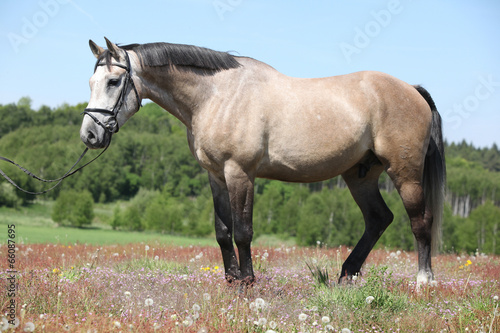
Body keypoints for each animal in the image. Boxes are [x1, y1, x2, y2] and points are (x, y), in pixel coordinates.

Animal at [81, 37, 446, 284]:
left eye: (113, 81)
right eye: (91, 82)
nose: (89, 135)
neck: (217, 96)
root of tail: (412, 89)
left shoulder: (240, 173)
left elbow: (243, 231)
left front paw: (247, 283)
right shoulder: (216, 176)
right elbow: (223, 232)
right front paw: (231, 282)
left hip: (405, 173)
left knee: (420, 222)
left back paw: (423, 282)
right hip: (360, 175)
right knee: (378, 219)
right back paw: (346, 275)